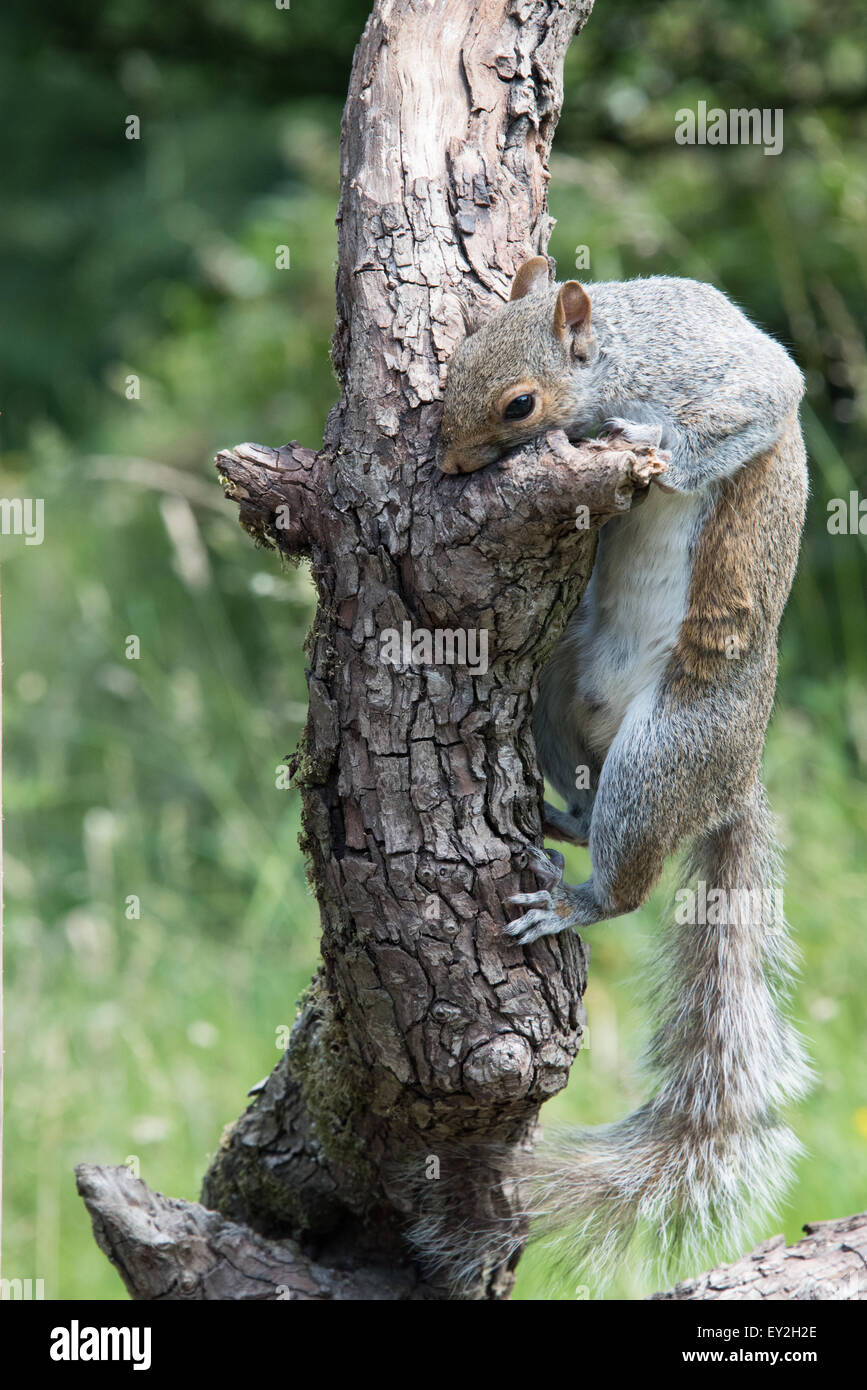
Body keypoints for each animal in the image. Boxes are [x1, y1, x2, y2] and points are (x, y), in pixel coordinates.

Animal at [439, 258, 811, 1278]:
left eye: (518, 404)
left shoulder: (725, 371)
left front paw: (641, 441)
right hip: (559, 685)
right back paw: (554, 820)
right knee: (581, 787)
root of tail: (731, 784)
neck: (623, 348)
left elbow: (760, 396)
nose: (443, 466)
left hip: (662, 755)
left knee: (630, 879)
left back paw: (576, 898)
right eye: (451, 364)